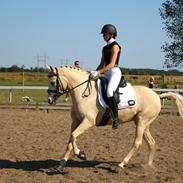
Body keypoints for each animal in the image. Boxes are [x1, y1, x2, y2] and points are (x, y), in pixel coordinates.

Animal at [46, 66, 183, 173]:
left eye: (52, 82)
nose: (50, 100)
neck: (83, 94)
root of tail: (157, 96)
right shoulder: (75, 122)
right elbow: (70, 140)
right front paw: (60, 166)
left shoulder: (88, 122)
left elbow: (73, 136)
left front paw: (81, 154)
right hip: (143, 123)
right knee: (152, 143)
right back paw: (147, 166)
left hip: (142, 122)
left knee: (137, 143)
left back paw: (121, 164)